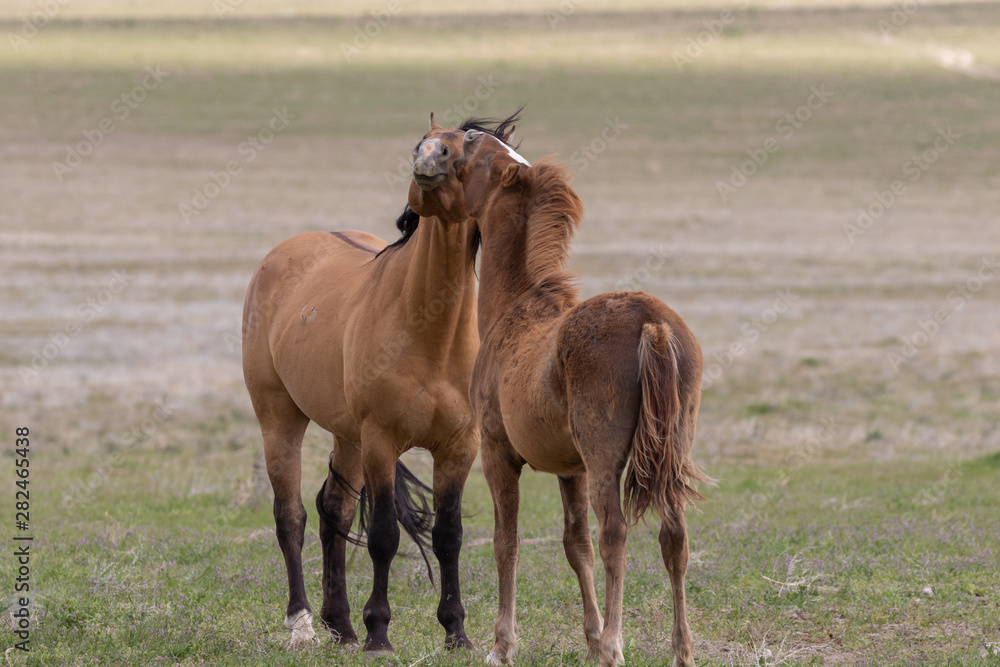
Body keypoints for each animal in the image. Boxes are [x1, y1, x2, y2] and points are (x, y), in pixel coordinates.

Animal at [241, 111, 519, 653]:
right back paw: (303, 624)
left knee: (334, 511)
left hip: (346, 435)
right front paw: (379, 633)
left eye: (472, 150)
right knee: (291, 518)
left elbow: (448, 535)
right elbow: (385, 536)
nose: (427, 157)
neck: (431, 334)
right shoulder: (380, 441)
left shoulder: (460, 446)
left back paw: (341, 627)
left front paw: (456, 632)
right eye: (422, 140)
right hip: (280, 418)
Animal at [454, 130, 710, 667]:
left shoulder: (497, 453)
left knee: (615, 533)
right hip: (673, 448)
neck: (515, 309)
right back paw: (681, 649)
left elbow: (507, 542)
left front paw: (502, 644)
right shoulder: (570, 469)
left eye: (479, 154)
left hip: (605, 459)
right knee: (673, 537)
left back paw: (616, 643)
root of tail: (651, 321)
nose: (465, 132)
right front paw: (589, 638)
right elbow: (576, 545)